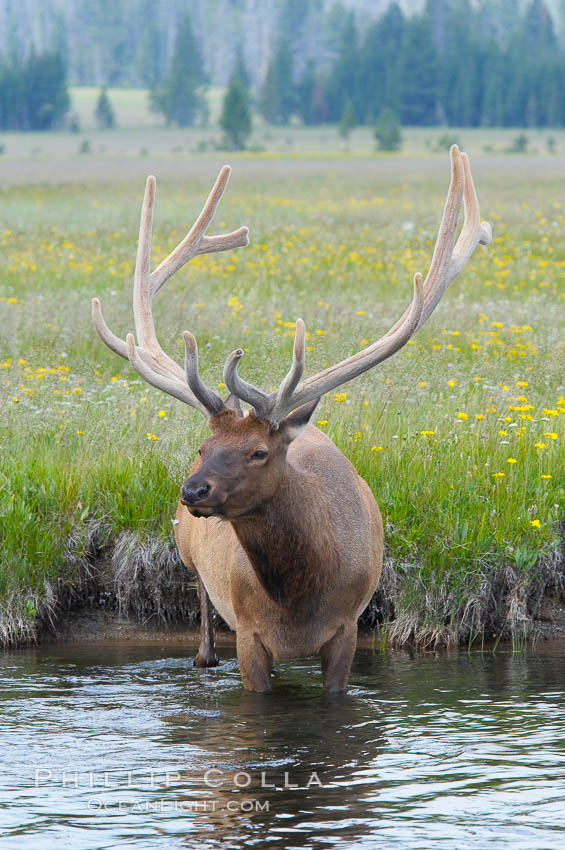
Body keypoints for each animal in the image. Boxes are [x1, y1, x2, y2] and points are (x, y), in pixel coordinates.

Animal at [91, 146, 490, 688]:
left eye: (259, 451)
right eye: (202, 447)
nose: (192, 490)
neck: (298, 602)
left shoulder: (347, 627)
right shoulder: (249, 633)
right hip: (189, 557)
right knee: (203, 632)